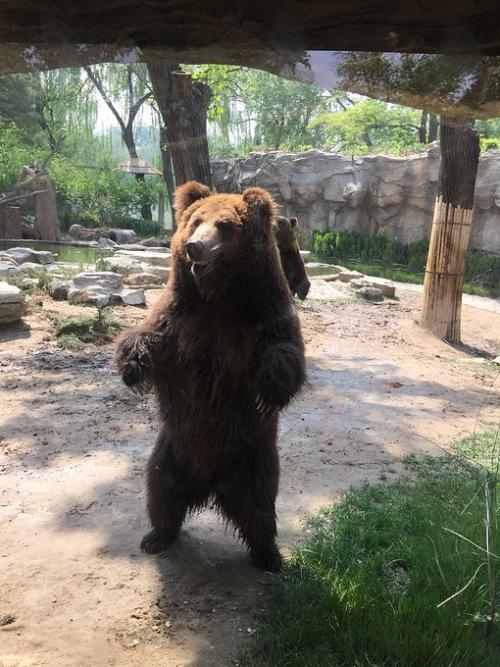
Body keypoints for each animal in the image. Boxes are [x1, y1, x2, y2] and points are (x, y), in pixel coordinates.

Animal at [116, 183, 304, 576]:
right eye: (195, 221)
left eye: (225, 225)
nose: (194, 247)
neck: (219, 297)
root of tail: (209, 484)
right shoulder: (179, 316)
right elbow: (150, 337)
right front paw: (132, 367)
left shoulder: (264, 313)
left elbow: (284, 349)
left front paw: (268, 392)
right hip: (171, 449)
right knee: (161, 490)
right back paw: (156, 536)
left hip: (253, 456)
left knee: (259, 508)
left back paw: (268, 556)